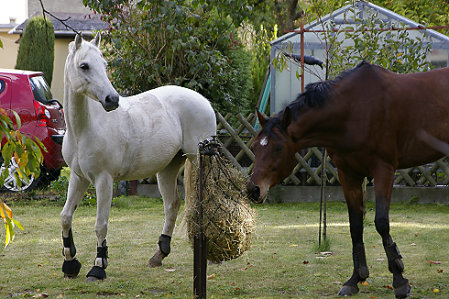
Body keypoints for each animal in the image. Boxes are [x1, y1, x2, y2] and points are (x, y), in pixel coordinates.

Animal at [60, 34, 216, 282]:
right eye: (84, 66)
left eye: (104, 64)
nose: (111, 99)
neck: (84, 129)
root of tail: (203, 101)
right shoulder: (78, 177)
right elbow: (66, 217)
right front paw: (70, 263)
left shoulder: (104, 180)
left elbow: (100, 224)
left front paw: (98, 267)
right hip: (167, 169)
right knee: (172, 205)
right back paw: (159, 255)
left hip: (199, 160)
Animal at [247, 61, 448, 299]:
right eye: (254, 147)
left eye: (278, 147)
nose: (253, 190)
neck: (352, 110)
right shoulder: (348, 174)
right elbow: (355, 226)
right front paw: (356, 279)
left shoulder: (384, 170)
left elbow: (382, 223)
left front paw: (399, 279)